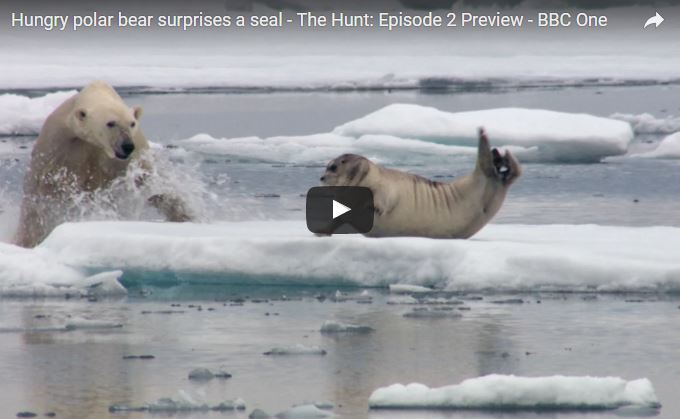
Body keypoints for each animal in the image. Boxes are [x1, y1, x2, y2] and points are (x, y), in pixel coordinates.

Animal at [13, 81, 191, 248]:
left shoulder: (130, 155)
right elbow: (42, 191)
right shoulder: (58, 145)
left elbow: (151, 181)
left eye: (132, 123)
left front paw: (185, 216)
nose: (127, 146)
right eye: (111, 123)